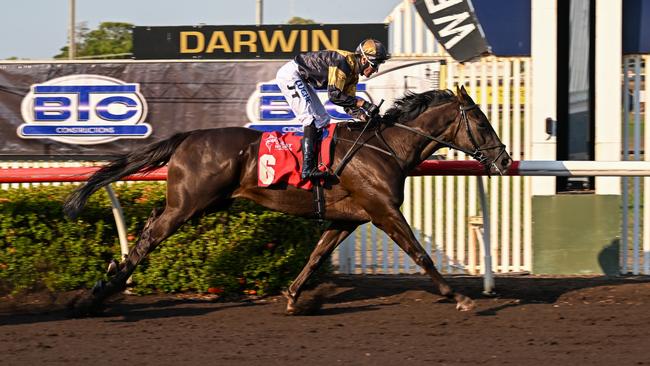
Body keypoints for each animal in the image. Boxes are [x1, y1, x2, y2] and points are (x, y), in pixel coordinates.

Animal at [66, 85, 512, 314]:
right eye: (482, 122)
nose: (506, 159)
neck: (386, 147)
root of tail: (187, 136)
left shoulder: (348, 217)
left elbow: (315, 256)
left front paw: (294, 297)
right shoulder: (382, 210)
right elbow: (420, 254)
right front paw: (459, 297)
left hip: (196, 202)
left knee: (150, 223)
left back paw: (107, 281)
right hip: (189, 204)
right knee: (149, 237)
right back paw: (98, 292)